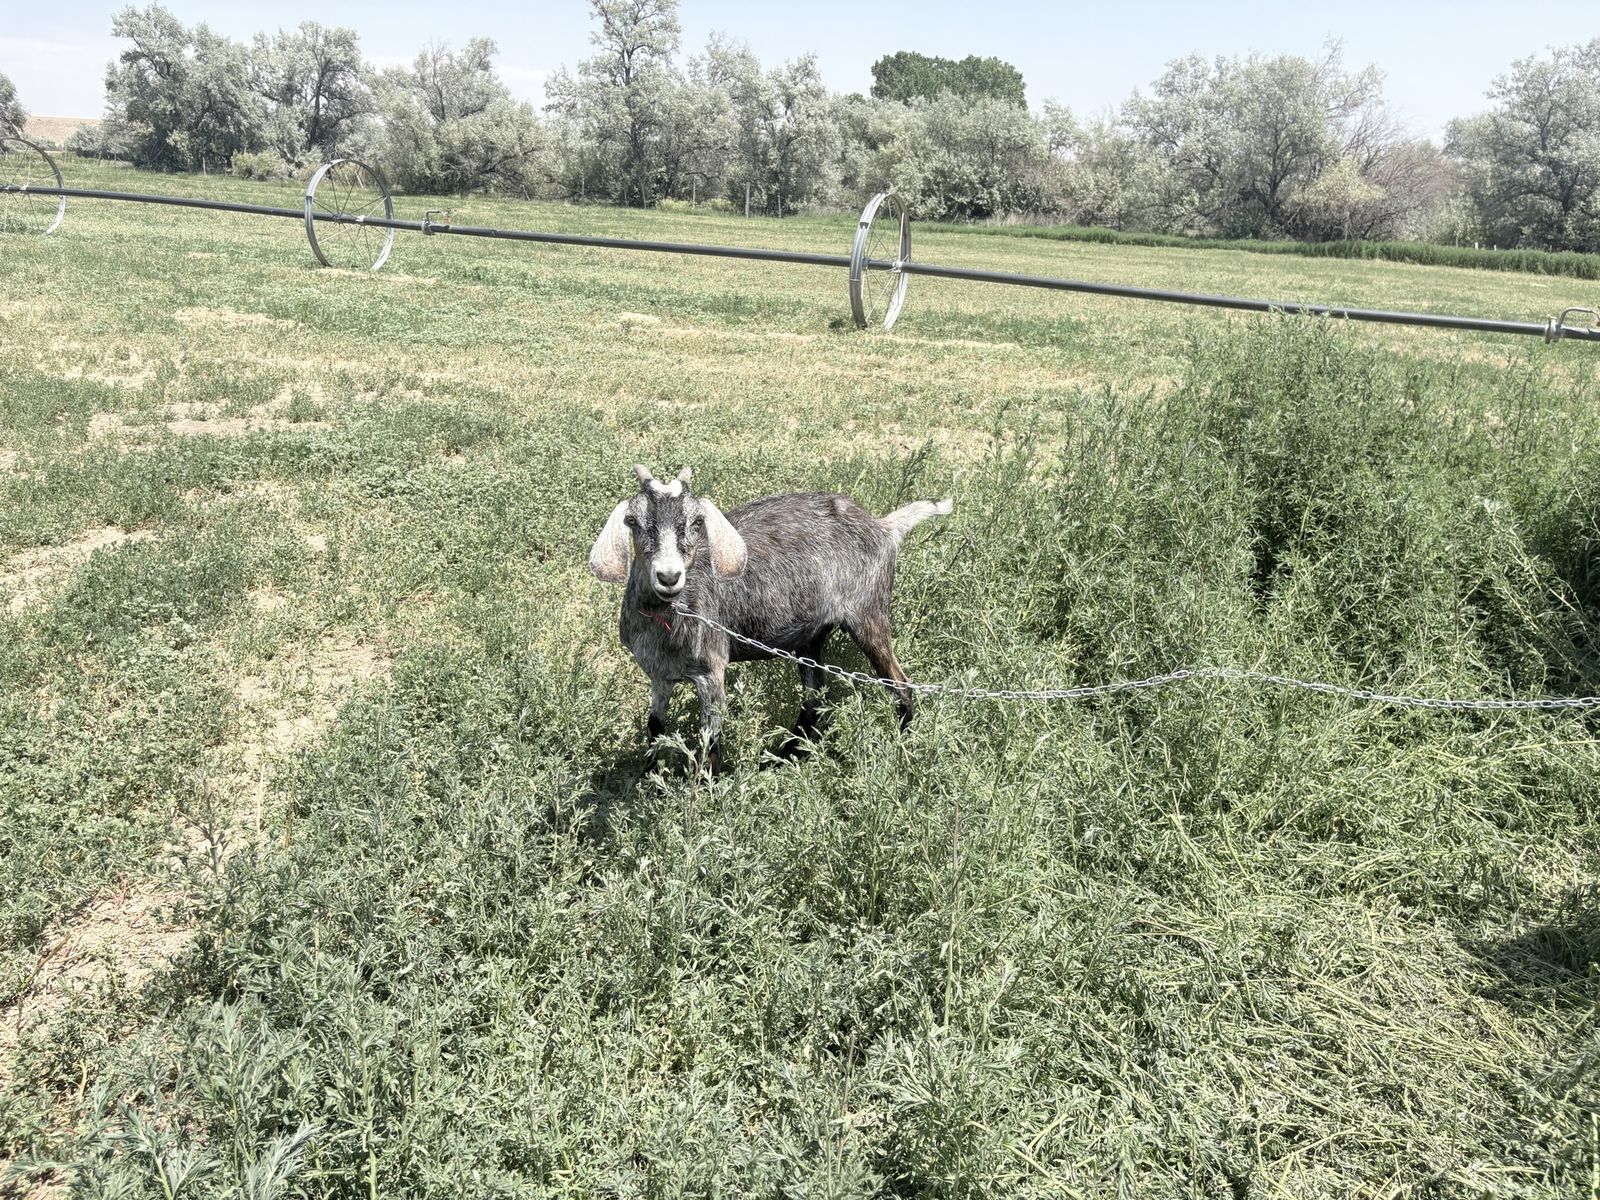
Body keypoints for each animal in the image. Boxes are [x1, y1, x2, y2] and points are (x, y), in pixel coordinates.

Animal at [589, 464, 952, 772]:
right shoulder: (659, 674)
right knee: (815, 699)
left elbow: (710, 743)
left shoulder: (711, 670)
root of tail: (883, 527)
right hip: (811, 636)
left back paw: (900, 752)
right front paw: (650, 783)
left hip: (868, 612)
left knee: (900, 685)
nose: (668, 576)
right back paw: (782, 758)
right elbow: (655, 727)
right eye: (633, 521)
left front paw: (706, 799)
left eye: (696, 521)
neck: (667, 617)